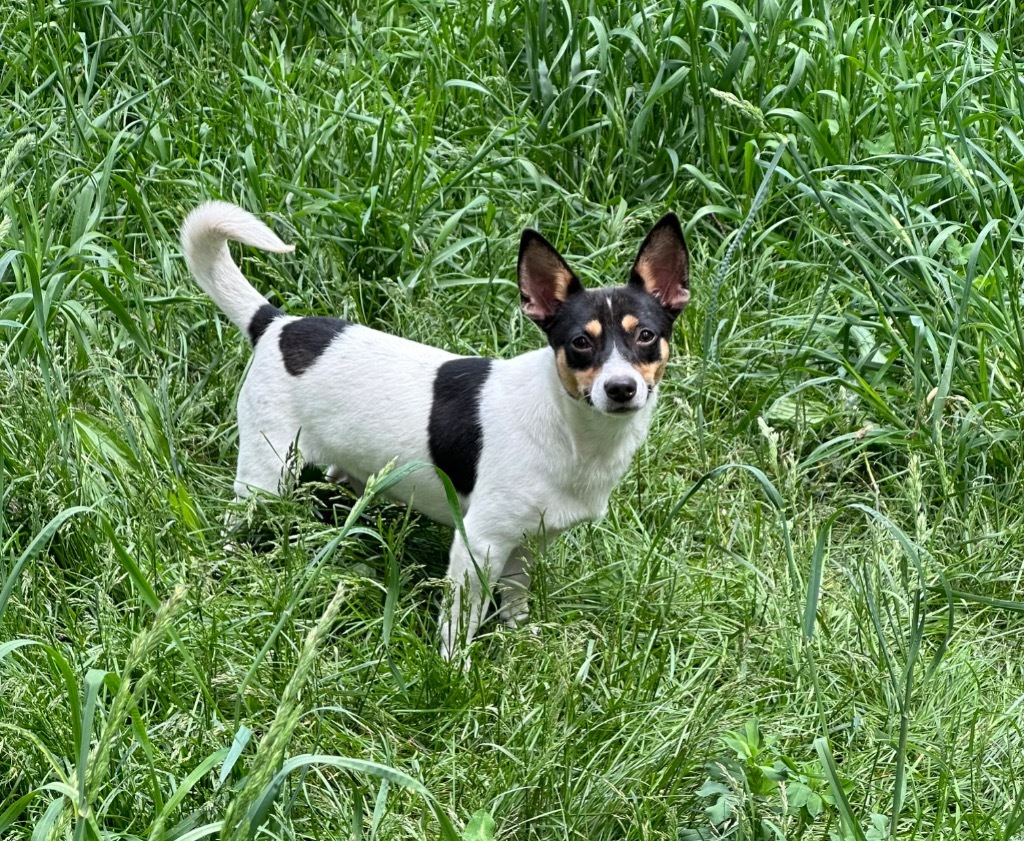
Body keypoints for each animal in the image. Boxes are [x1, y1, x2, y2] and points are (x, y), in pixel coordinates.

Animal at [181, 201, 692, 655]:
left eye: (646, 336)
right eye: (581, 343)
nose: (621, 388)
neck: (571, 430)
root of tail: (276, 324)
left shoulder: (526, 546)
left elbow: (516, 601)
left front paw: (520, 640)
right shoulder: (479, 546)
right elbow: (459, 623)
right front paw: (456, 671)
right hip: (266, 475)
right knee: (237, 522)